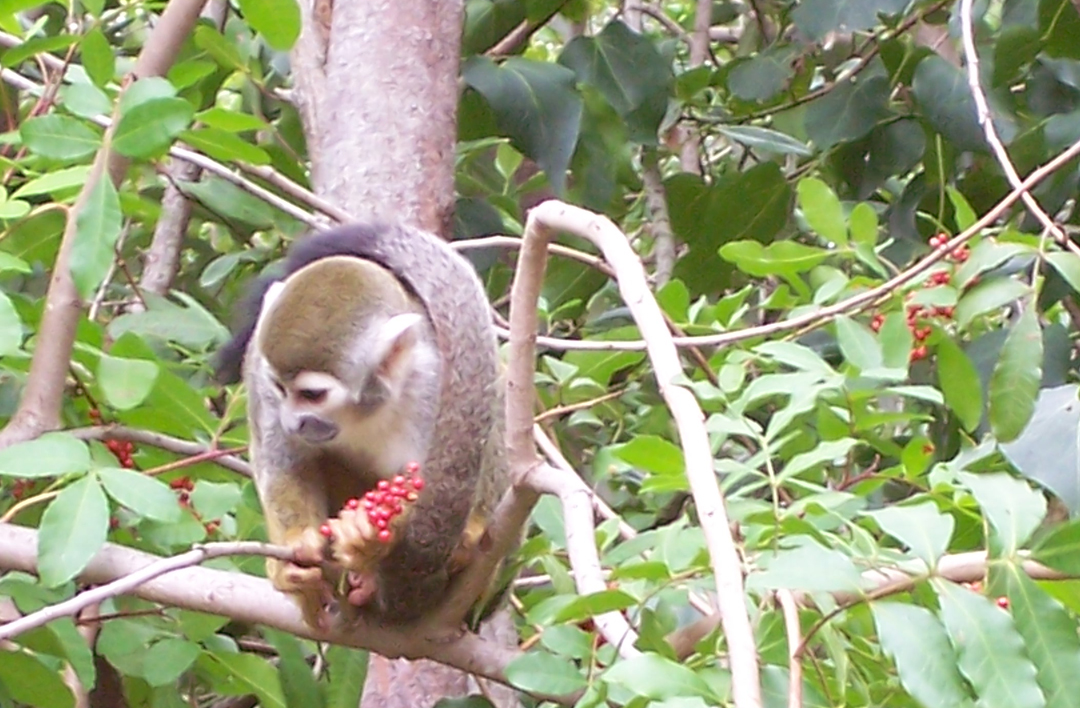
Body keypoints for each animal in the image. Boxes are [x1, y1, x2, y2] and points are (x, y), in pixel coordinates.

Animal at [219, 222, 509, 625]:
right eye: (279, 388)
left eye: (312, 395)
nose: (291, 422)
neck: (364, 410)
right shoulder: (260, 376)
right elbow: (282, 463)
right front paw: (297, 549)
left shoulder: (434, 382)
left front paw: (372, 538)